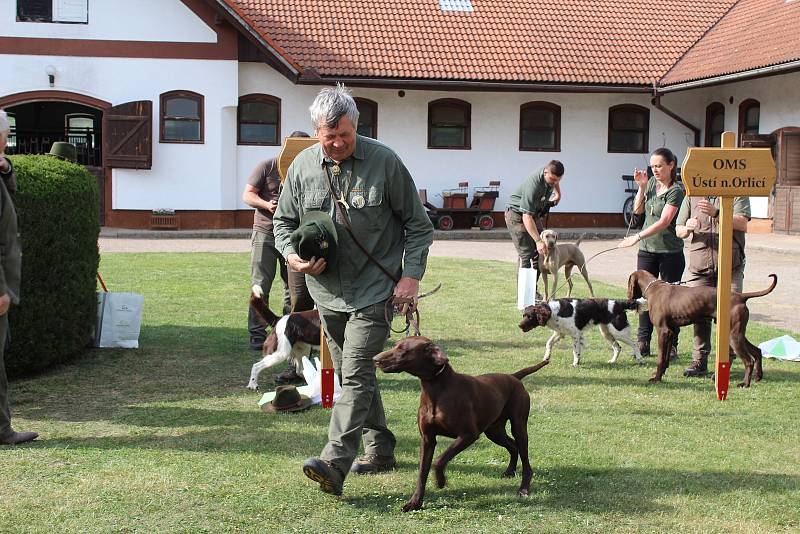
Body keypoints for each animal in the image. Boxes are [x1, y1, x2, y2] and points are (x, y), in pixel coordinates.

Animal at [372, 338, 548, 512]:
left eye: (402, 349)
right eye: (396, 345)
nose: (374, 359)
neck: (436, 389)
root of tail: (514, 377)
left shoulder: (468, 435)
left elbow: (439, 460)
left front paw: (441, 481)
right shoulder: (427, 440)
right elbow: (422, 473)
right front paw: (414, 503)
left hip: (518, 426)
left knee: (525, 460)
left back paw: (523, 489)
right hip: (494, 431)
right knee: (512, 446)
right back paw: (510, 471)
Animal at [628, 270, 780, 388]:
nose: (628, 300)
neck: (654, 288)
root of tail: (740, 296)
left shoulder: (663, 331)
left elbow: (660, 359)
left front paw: (656, 378)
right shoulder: (670, 332)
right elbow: (665, 359)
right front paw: (660, 374)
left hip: (733, 336)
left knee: (749, 361)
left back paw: (744, 384)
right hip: (738, 333)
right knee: (757, 351)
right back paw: (758, 376)